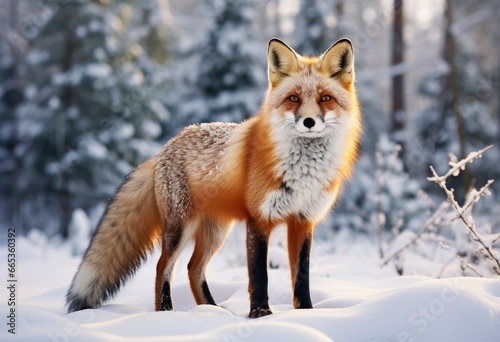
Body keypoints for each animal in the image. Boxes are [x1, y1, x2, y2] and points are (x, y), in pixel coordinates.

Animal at [68, 37, 362, 318]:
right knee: (164, 266)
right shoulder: (259, 219)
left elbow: (302, 277)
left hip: (216, 232)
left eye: (325, 98)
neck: (303, 173)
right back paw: (166, 312)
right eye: (293, 99)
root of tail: (164, 149)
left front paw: (307, 313)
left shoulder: (303, 221)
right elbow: (259, 275)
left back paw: (211, 311)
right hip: (180, 228)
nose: (309, 122)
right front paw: (260, 314)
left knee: (193, 268)